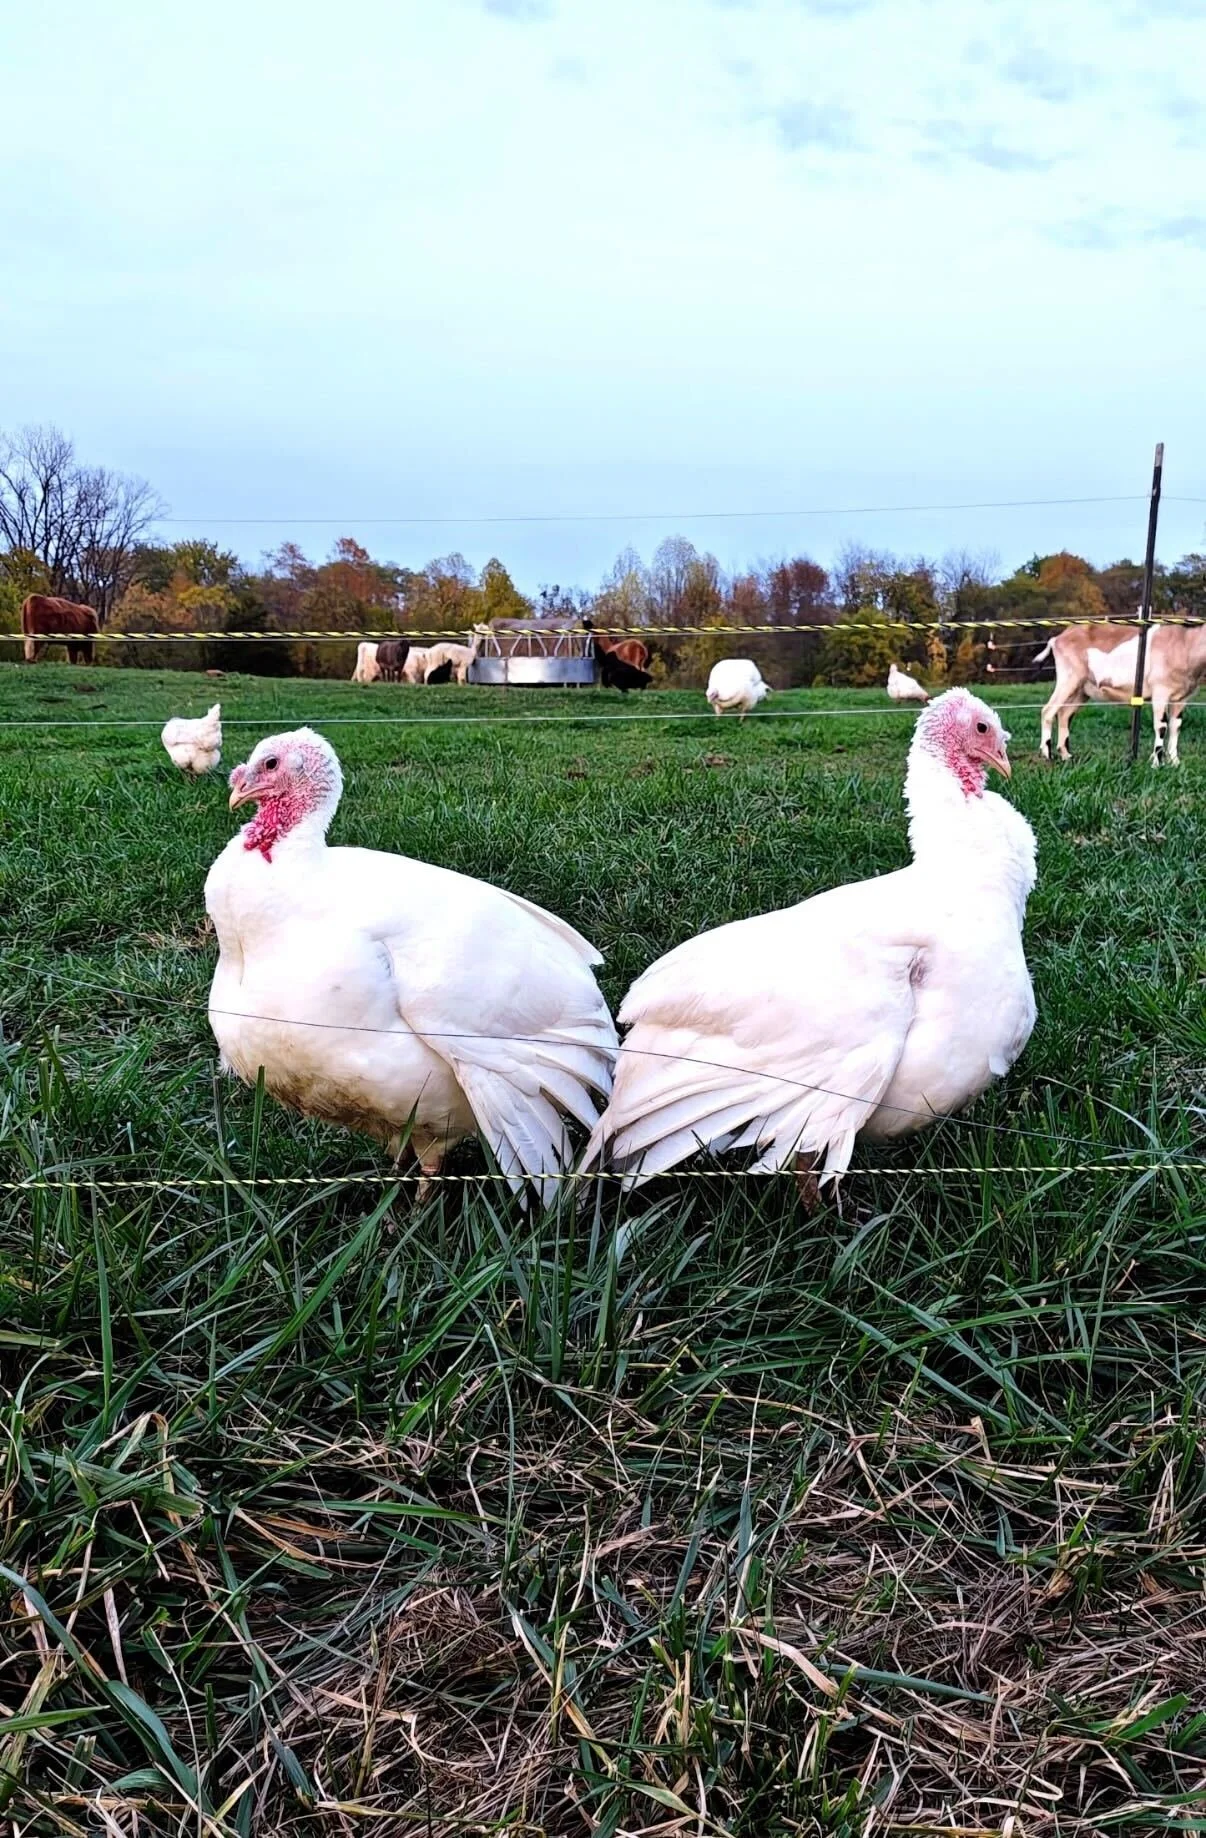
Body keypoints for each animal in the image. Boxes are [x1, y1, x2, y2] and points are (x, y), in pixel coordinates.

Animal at [1035, 621, 1206, 767]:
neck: (1185, 644)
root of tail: (1057, 639)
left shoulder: (1181, 698)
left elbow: (1175, 726)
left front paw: (1175, 762)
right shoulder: (1160, 691)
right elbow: (1161, 726)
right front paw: (1157, 763)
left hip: (1081, 689)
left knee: (1064, 714)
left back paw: (1066, 756)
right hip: (1069, 678)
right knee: (1048, 710)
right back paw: (1047, 756)